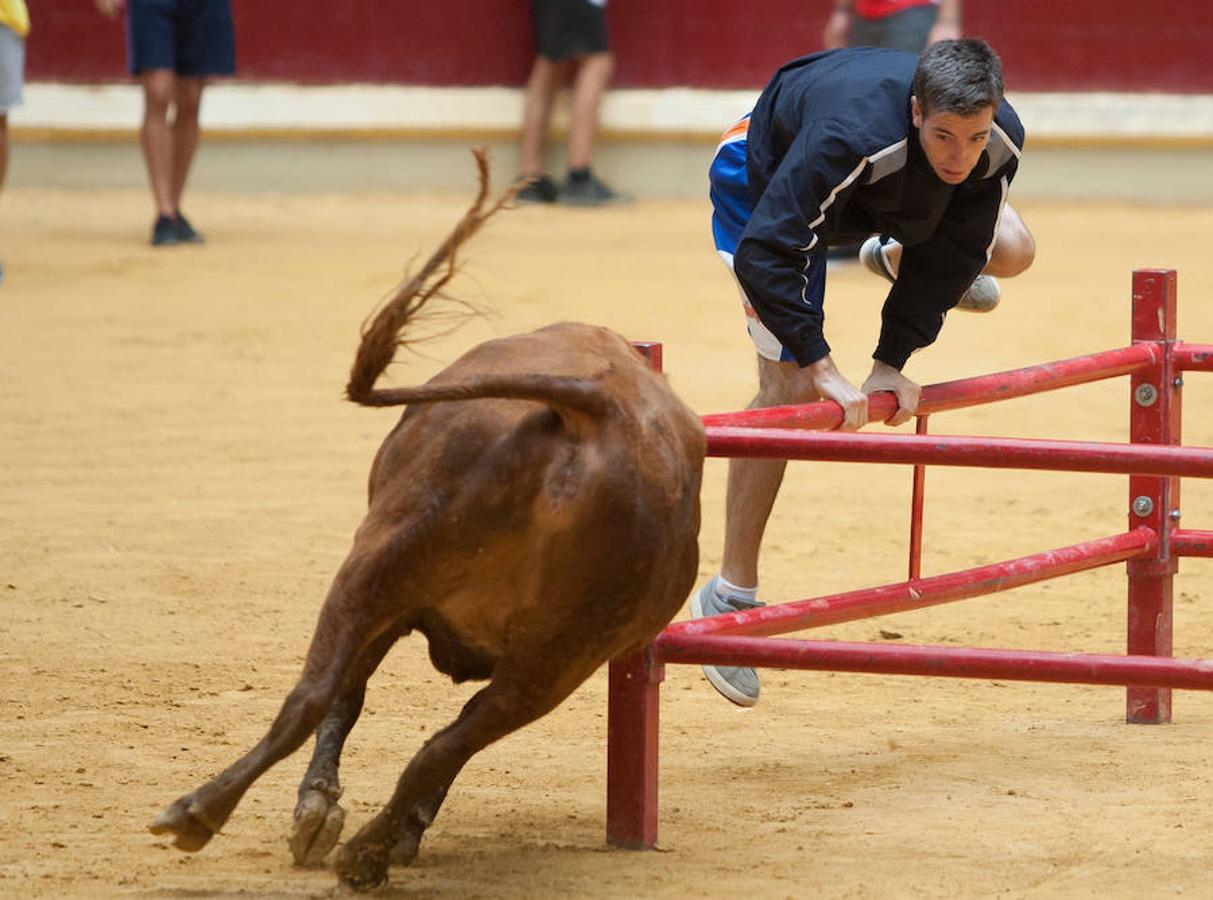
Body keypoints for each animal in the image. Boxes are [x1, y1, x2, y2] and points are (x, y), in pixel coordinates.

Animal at [147, 151, 708, 892]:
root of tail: (598, 408)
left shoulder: (406, 599)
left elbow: (351, 697)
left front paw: (328, 813)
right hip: (550, 653)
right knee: (435, 736)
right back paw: (338, 841)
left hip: (404, 574)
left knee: (336, 702)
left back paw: (231, 819)